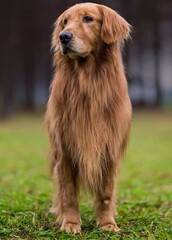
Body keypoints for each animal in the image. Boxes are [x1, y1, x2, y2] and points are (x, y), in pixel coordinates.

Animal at [45, 2, 132, 233]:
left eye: (88, 19)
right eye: (65, 21)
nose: (63, 37)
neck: (88, 81)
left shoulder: (109, 148)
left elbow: (106, 194)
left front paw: (108, 224)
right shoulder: (65, 149)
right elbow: (68, 193)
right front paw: (70, 223)